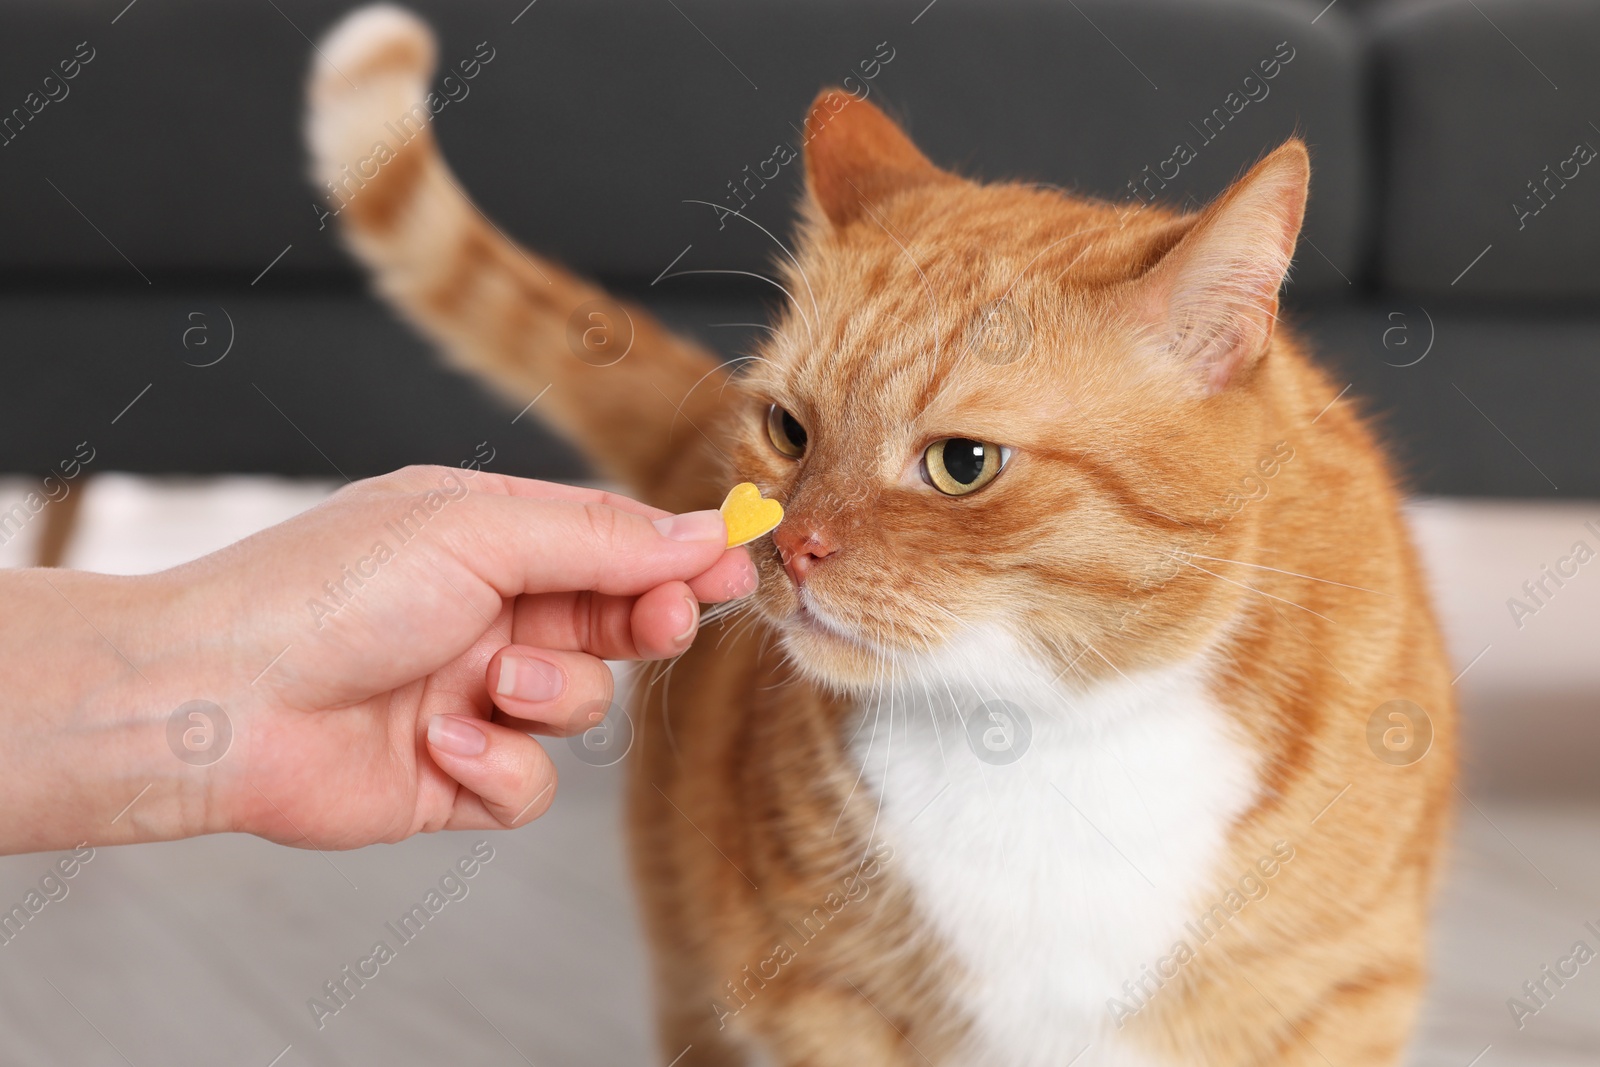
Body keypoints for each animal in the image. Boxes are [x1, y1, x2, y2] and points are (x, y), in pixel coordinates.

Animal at [305, 6, 1459, 1062]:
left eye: (963, 463)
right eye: (789, 429)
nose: (790, 548)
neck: (1042, 738)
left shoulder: (1337, 1003)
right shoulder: (820, 1004)